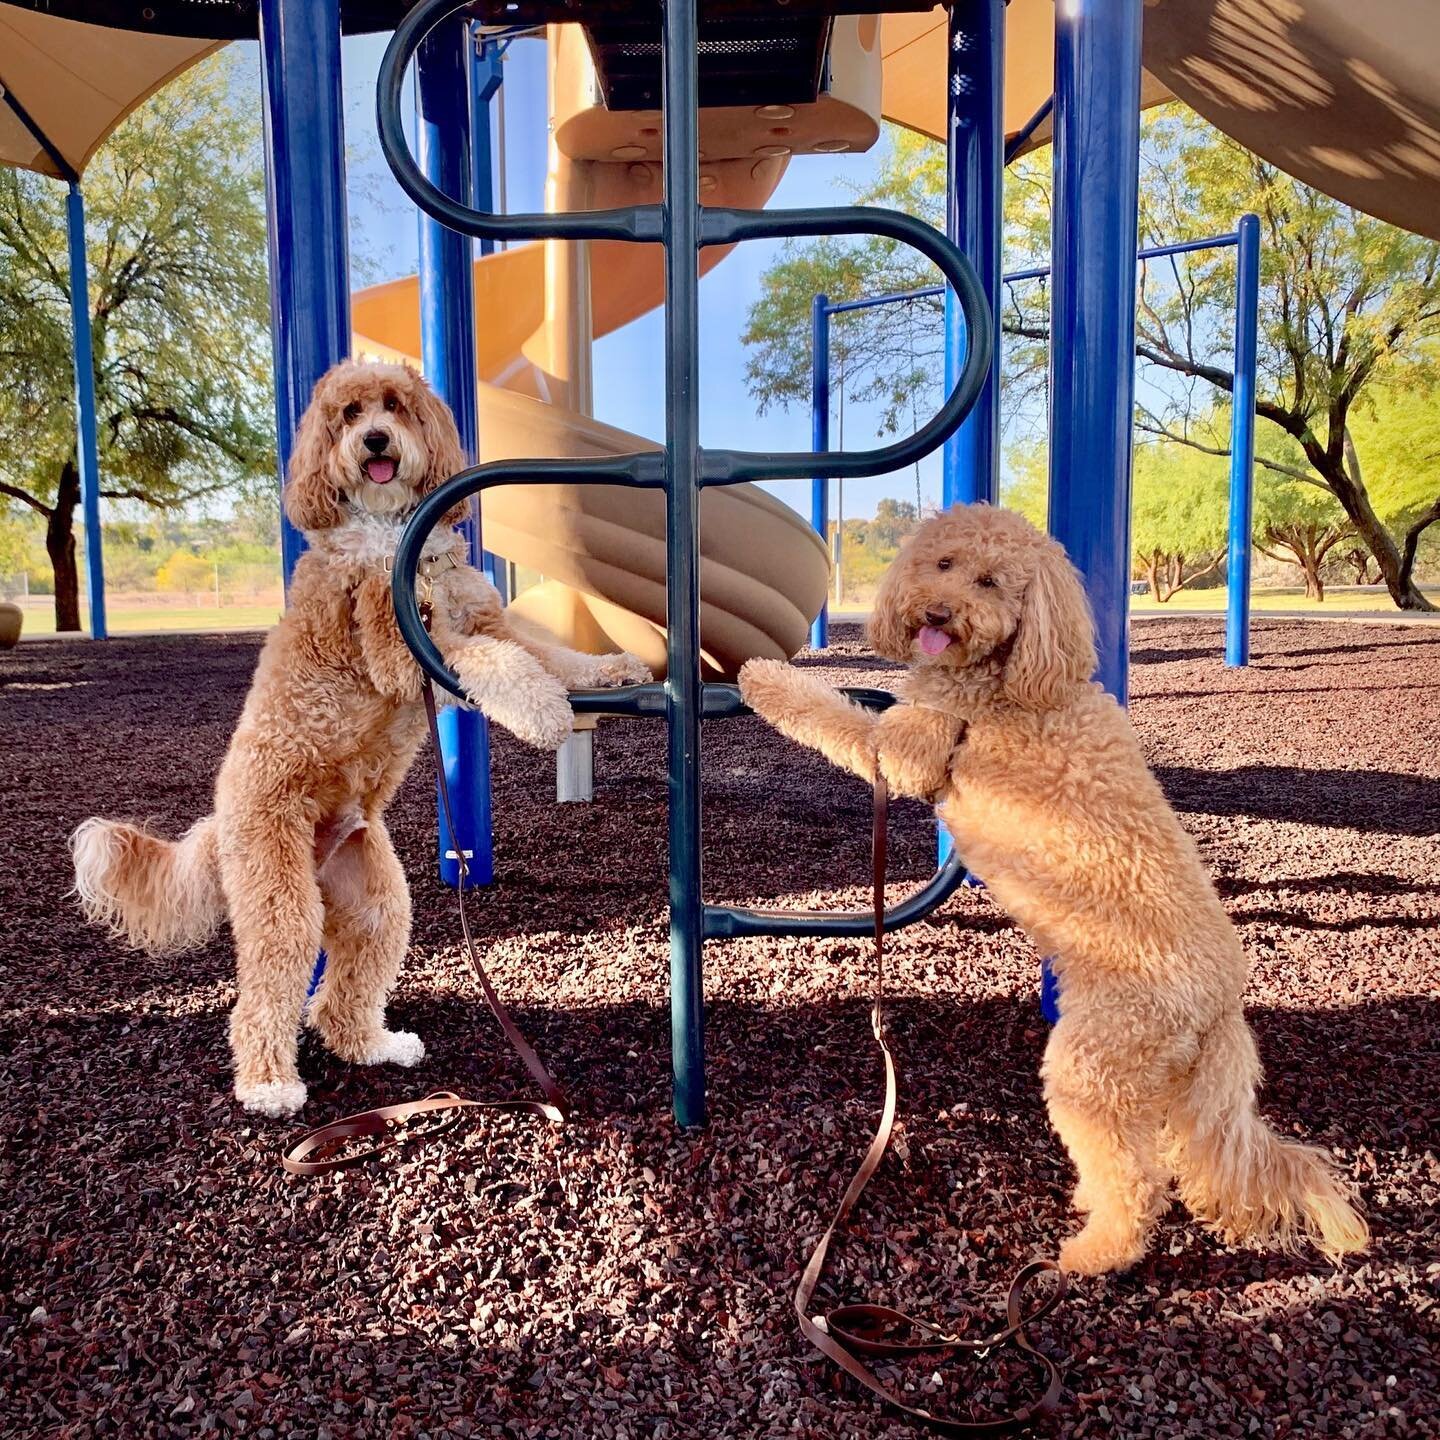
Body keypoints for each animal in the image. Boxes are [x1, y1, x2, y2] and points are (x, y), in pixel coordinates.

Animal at [73, 357, 648, 1111]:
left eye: (395, 405)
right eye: (347, 414)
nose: (375, 440)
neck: (397, 536)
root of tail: (217, 826)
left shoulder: (487, 620)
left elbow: (551, 655)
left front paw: (612, 668)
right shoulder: (405, 654)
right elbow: (490, 662)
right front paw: (544, 713)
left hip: (375, 900)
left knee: (338, 996)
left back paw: (376, 1046)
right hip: (278, 891)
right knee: (263, 997)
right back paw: (269, 1086)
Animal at [737, 506, 1365, 1272]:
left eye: (990, 581)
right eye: (941, 563)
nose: (938, 612)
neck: (1006, 674)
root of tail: (1221, 1005)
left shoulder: (912, 749)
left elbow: (835, 716)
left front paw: (764, 676)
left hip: (1092, 1061)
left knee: (1138, 1180)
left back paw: (1093, 1253)